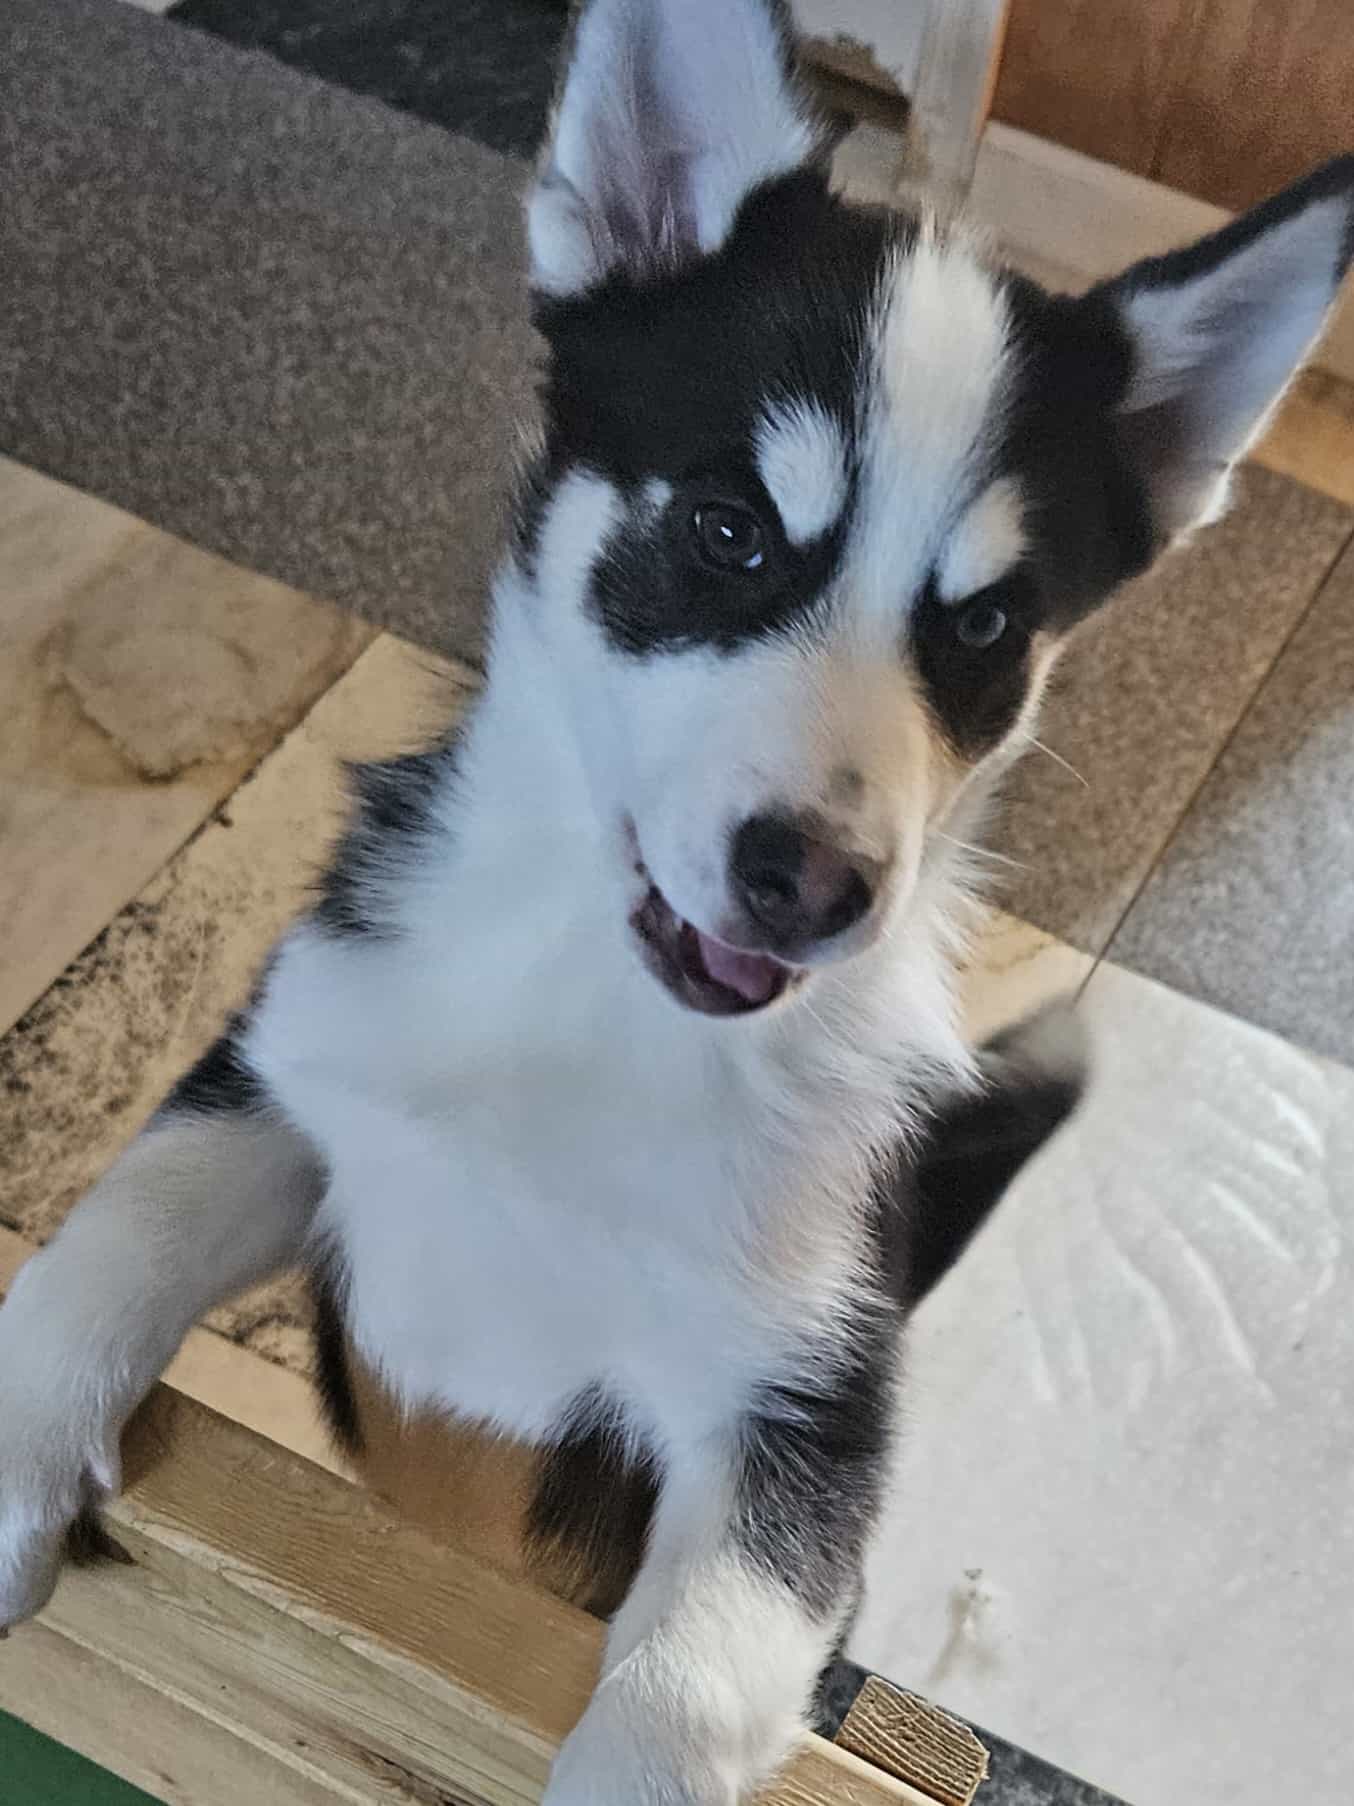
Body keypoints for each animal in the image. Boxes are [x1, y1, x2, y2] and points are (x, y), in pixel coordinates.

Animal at [2, 0, 1354, 1798]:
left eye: (983, 628)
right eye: (725, 529)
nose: (814, 884)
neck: (602, 1019)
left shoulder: (801, 1414)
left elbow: (687, 1688)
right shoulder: (287, 1077)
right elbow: (107, 1236)